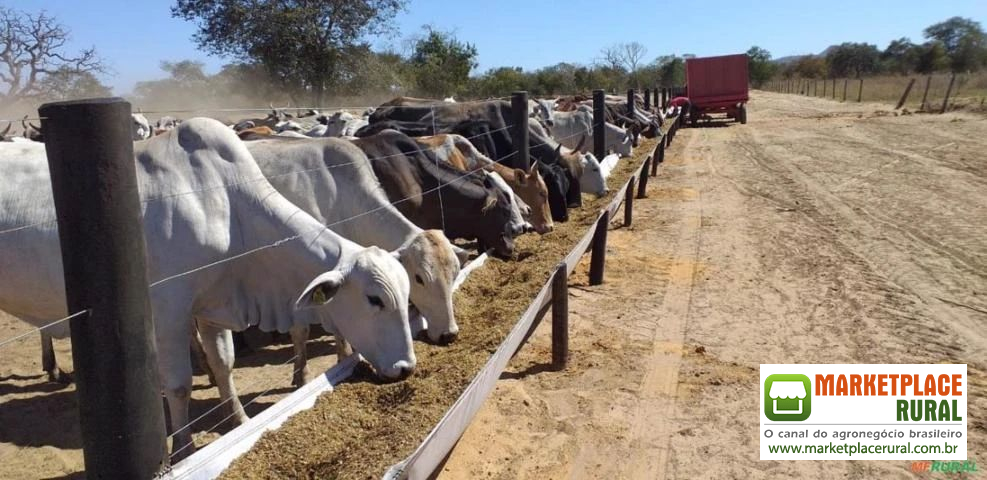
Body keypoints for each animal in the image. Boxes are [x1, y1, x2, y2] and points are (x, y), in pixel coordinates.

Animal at [0, 118, 412, 460]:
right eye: (374, 299)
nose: (407, 367)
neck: (225, 206)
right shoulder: (168, 311)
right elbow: (179, 384)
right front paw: (183, 449)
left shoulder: (213, 307)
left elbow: (224, 365)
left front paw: (240, 421)